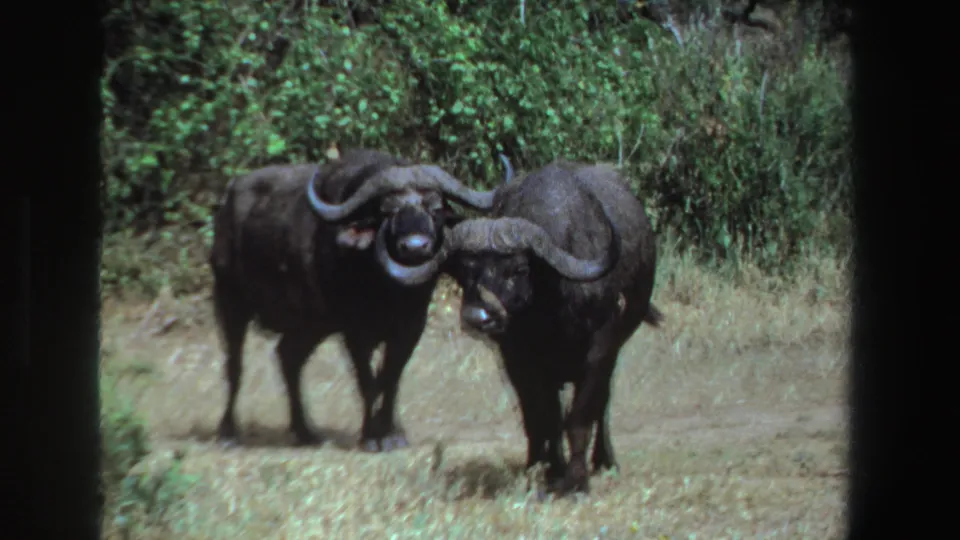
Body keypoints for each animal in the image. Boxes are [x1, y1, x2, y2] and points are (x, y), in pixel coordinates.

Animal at [209, 148, 500, 451]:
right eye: (388, 210)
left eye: (435, 208)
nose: (415, 247)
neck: (389, 291)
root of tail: (228, 200)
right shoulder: (355, 332)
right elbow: (367, 381)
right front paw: (371, 435)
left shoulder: (411, 327)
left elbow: (390, 377)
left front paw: (392, 432)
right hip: (230, 300)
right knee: (235, 365)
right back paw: (228, 432)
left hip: (311, 324)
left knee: (288, 357)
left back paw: (305, 431)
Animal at [441, 160, 664, 494]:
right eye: (468, 270)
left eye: (519, 269)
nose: (477, 317)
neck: (552, 313)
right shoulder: (519, 360)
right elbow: (543, 418)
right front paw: (550, 471)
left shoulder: (600, 352)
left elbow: (580, 417)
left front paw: (576, 480)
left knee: (603, 403)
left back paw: (605, 460)